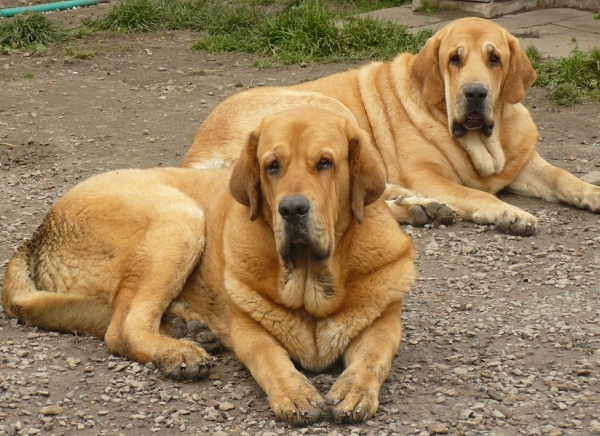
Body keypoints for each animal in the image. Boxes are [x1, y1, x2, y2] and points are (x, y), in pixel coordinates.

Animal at [2, 106, 418, 426]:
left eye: (325, 163)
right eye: (272, 166)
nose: (292, 209)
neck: (309, 281)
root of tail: (37, 233)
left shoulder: (382, 327)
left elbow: (373, 358)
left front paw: (354, 390)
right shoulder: (251, 333)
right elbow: (270, 358)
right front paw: (294, 393)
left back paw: (189, 326)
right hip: (180, 221)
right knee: (122, 328)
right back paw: (178, 352)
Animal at [184, 17, 600, 237]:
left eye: (494, 58)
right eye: (454, 59)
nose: (475, 93)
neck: (483, 141)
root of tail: (195, 156)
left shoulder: (523, 163)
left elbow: (562, 177)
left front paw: (592, 193)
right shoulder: (427, 174)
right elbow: (476, 195)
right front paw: (508, 214)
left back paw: (421, 208)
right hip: (332, 109)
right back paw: (422, 206)